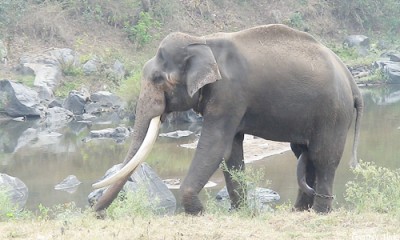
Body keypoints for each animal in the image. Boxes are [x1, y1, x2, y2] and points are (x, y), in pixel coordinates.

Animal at [93, 24, 362, 215]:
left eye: (159, 79)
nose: (96, 213)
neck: (202, 42)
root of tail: (351, 80)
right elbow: (231, 151)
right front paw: (239, 211)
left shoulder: (229, 93)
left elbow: (214, 146)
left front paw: (198, 212)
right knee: (303, 154)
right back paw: (298, 210)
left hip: (333, 112)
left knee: (322, 156)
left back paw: (319, 212)